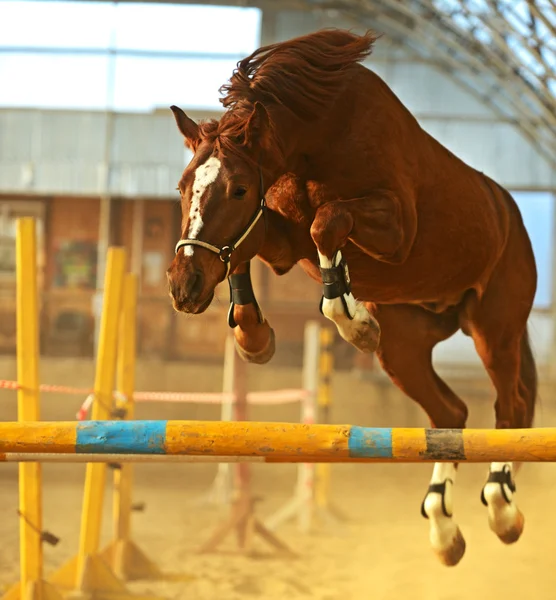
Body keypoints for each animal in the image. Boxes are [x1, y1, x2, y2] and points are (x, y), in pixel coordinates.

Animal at [166, 29, 540, 568]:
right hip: (403, 349)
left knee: (510, 407)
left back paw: (502, 509)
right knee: (450, 415)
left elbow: (328, 222)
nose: (184, 287)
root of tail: (510, 213)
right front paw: (254, 338)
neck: (317, 138)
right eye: (183, 187)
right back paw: (444, 530)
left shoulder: (396, 230)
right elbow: (250, 248)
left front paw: (352, 319)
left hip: (496, 329)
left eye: (237, 189)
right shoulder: (284, 242)